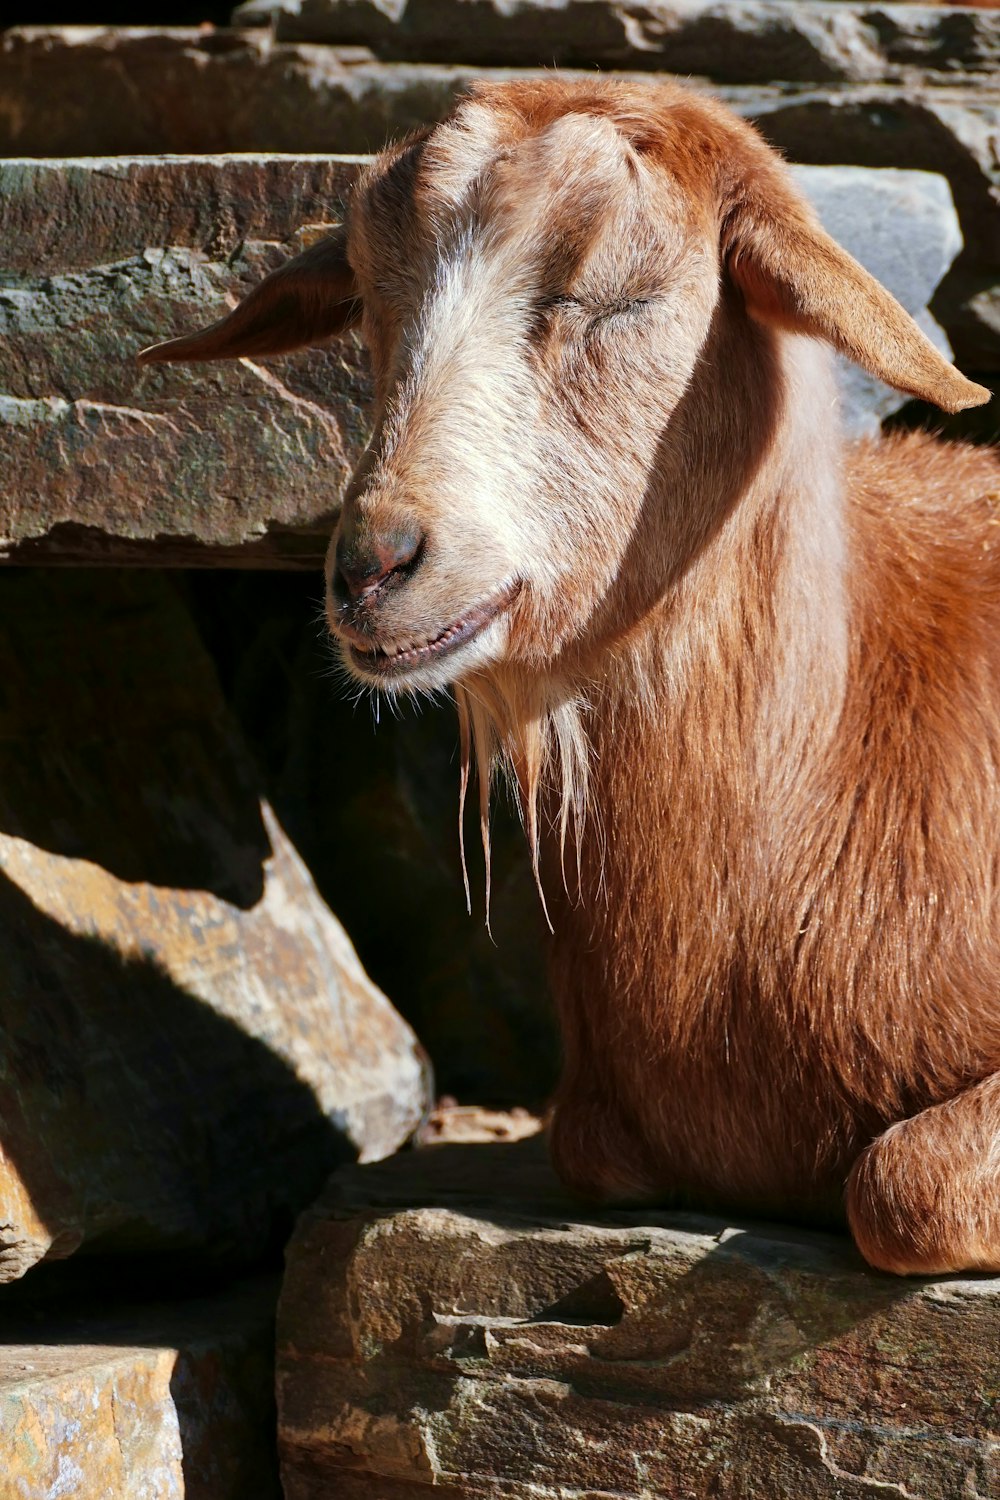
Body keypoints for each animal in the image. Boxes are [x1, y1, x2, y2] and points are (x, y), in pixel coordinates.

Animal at [140, 79, 1000, 1278]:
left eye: (624, 297)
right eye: (366, 294)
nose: (375, 564)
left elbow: (904, 1184)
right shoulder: (597, 1124)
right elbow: (593, 1151)